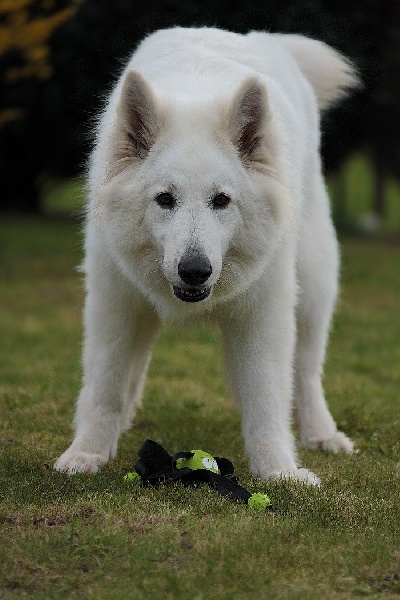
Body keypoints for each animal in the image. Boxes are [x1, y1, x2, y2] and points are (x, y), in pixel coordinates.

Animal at [54, 29, 358, 488]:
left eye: (221, 201)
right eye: (165, 199)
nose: (195, 271)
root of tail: (261, 37)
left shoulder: (263, 315)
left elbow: (267, 397)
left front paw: (279, 471)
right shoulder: (115, 302)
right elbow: (104, 385)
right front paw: (87, 452)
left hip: (313, 287)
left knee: (305, 372)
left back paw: (322, 434)